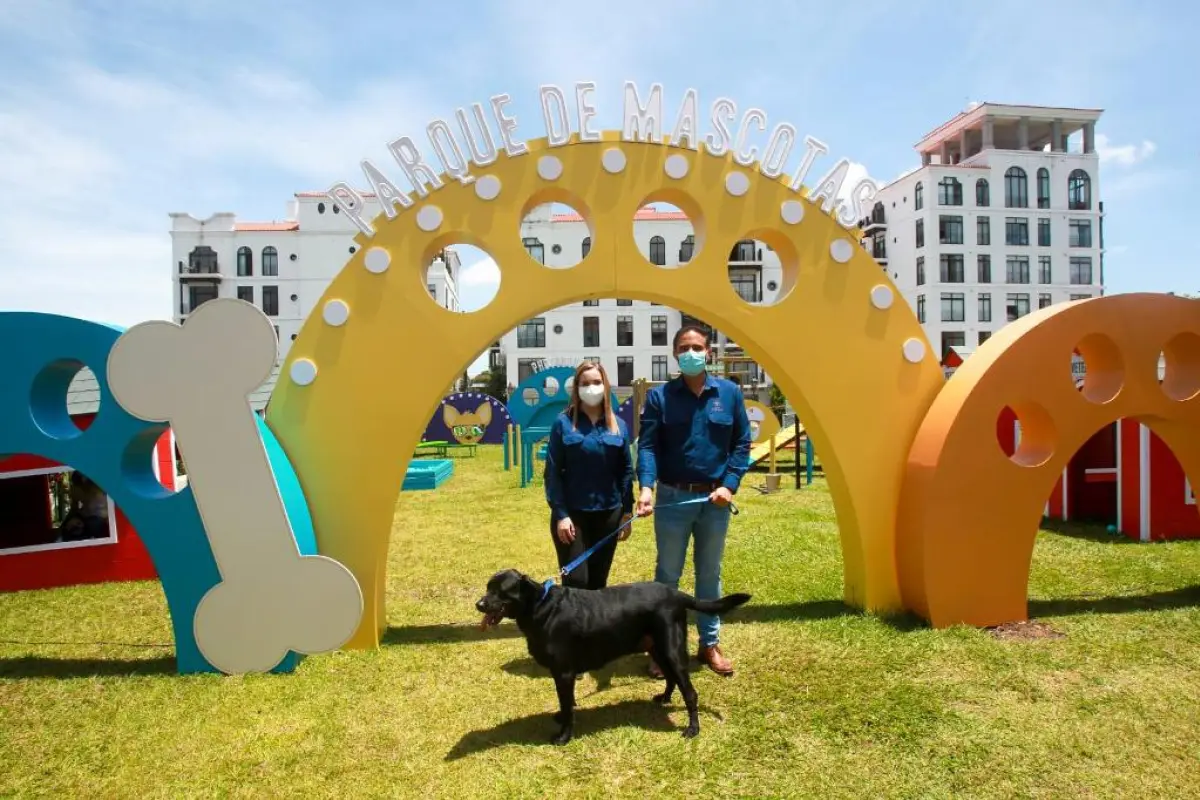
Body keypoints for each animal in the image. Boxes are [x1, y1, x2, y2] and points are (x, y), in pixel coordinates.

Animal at [475, 568, 748, 743]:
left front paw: (564, 736)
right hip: (657, 648)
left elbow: (567, 705)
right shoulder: (561, 674)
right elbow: (565, 703)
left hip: (672, 650)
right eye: (488, 587)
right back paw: (663, 698)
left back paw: (693, 729)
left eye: (500, 590)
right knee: (670, 678)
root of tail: (676, 594)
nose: (479, 604)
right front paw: (560, 717)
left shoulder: (564, 672)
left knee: (690, 693)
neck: (539, 607)